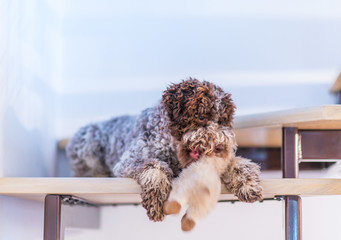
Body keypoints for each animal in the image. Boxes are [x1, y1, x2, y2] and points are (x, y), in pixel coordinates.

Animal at [65, 78, 260, 221]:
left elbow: (238, 164)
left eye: (222, 121)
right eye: (202, 117)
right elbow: (155, 166)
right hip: (88, 140)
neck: (171, 146)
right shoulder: (128, 161)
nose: (221, 147)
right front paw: (156, 201)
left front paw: (248, 183)